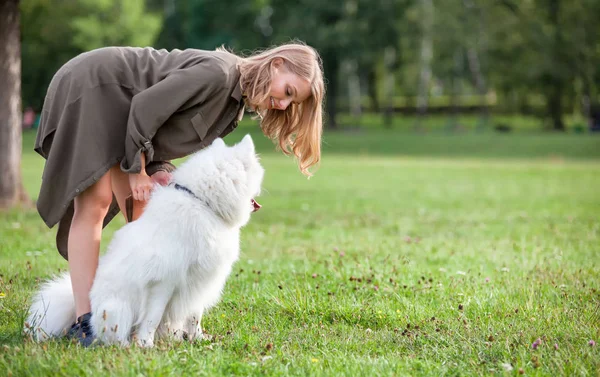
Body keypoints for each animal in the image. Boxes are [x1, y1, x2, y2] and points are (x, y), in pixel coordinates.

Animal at [25, 135, 264, 346]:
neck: (202, 203)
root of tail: (88, 311)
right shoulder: (163, 282)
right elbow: (152, 317)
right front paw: (145, 344)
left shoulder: (199, 280)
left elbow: (195, 315)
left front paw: (198, 339)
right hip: (118, 308)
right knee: (114, 335)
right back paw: (124, 344)